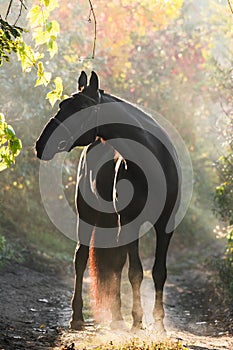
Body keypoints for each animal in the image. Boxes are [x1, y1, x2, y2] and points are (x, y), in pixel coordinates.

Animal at [35, 71, 181, 334]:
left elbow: (158, 272)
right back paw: (79, 317)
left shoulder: (166, 225)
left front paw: (159, 324)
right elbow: (135, 272)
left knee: (115, 264)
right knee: (82, 259)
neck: (151, 164)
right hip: (87, 215)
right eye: (62, 105)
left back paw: (116, 318)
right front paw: (137, 321)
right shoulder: (131, 223)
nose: (41, 145)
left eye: (80, 108)